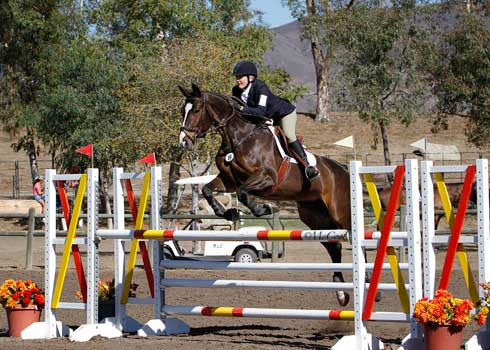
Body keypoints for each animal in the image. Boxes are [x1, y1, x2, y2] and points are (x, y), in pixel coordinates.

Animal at [179, 83, 352, 304]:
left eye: (196, 110)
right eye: (182, 111)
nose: (184, 142)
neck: (238, 138)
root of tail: (342, 169)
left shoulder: (266, 178)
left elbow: (243, 192)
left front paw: (262, 209)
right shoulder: (228, 180)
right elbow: (207, 189)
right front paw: (228, 213)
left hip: (340, 213)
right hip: (314, 217)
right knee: (334, 247)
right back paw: (341, 292)